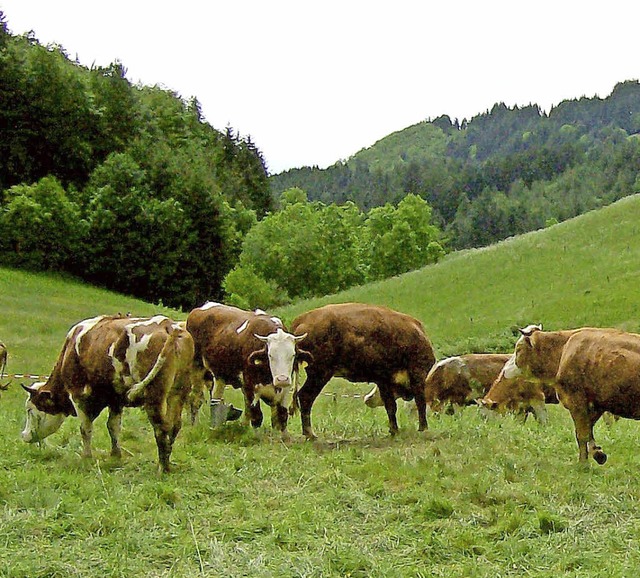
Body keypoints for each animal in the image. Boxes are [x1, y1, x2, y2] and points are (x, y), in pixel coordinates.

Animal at [20, 312, 195, 470]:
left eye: (30, 410)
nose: (24, 435)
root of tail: (169, 325)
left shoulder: (78, 395)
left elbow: (85, 429)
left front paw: (86, 457)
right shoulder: (115, 399)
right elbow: (113, 426)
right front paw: (115, 455)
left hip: (154, 397)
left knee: (161, 427)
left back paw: (162, 468)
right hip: (179, 391)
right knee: (174, 424)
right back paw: (167, 463)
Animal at [292, 302, 438, 436]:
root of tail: (302, 319)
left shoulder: (383, 380)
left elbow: (390, 405)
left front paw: (394, 430)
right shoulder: (415, 374)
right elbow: (419, 401)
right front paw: (423, 428)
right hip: (320, 373)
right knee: (305, 396)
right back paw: (310, 434)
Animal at [500, 324, 640, 464]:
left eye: (518, 349)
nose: (505, 370)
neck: (564, 349)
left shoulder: (576, 401)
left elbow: (582, 435)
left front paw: (583, 464)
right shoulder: (596, 404)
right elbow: (588, 430)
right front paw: (598, 454)